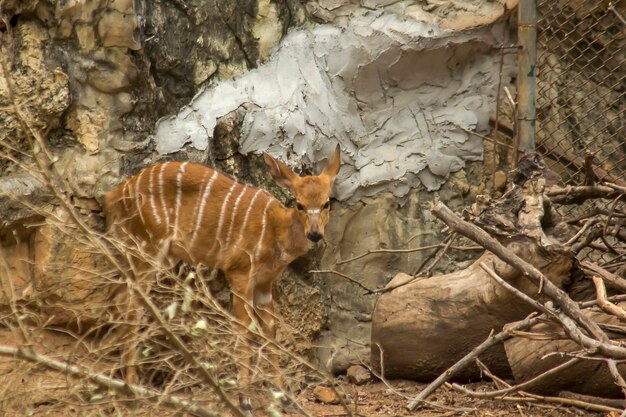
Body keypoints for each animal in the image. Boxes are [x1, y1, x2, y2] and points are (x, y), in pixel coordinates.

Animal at [101, 145, 342, 412]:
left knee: (117, 295)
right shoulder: (239, 272)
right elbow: (244, 329)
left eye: (326, 203)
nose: (315, 234)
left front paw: (287, 398)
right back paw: (133, 388)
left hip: (158, 255)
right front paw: (245, 400)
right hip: (148, 247)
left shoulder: (264, 283)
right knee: (131, 303)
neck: (275, 233)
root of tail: (113, 196)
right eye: (299, 204)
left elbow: (270, 331)